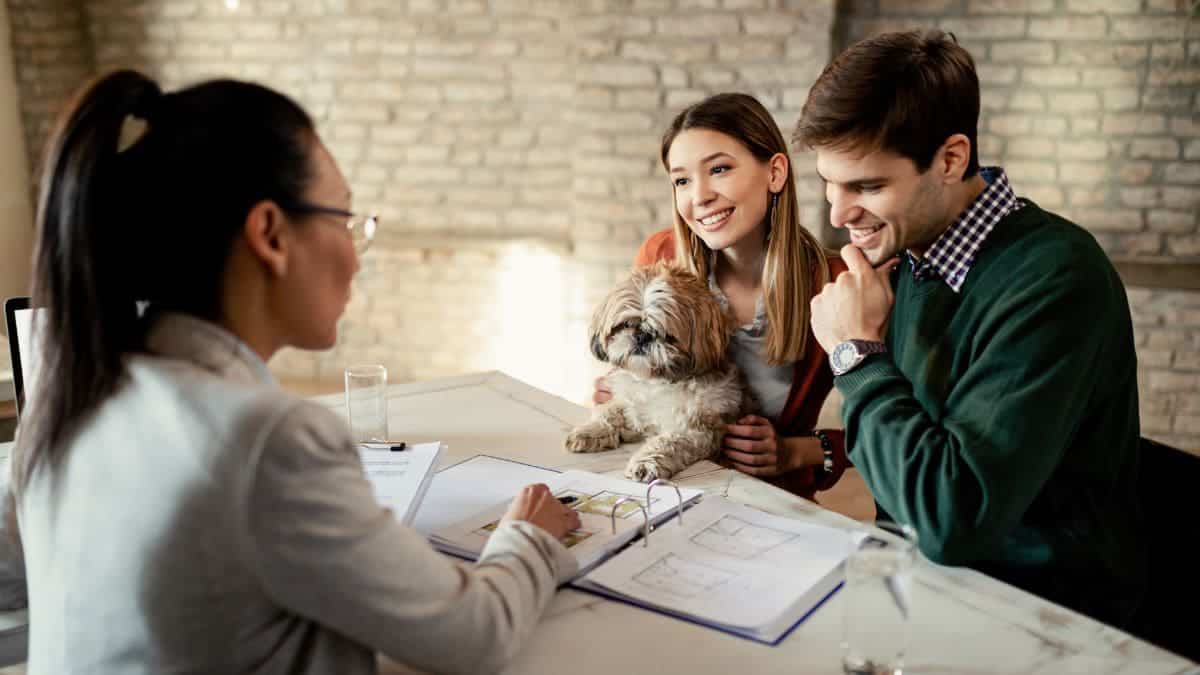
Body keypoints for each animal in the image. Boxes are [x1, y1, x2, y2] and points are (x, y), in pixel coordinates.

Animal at [564, 260, 748, 480]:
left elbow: (667, 442)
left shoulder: (696, 430)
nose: (642, 336)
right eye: (626, 324)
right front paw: (591, 431)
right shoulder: (630, 403)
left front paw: (645, 463)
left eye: (667, 335)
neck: (655, 381)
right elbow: (610, 411)